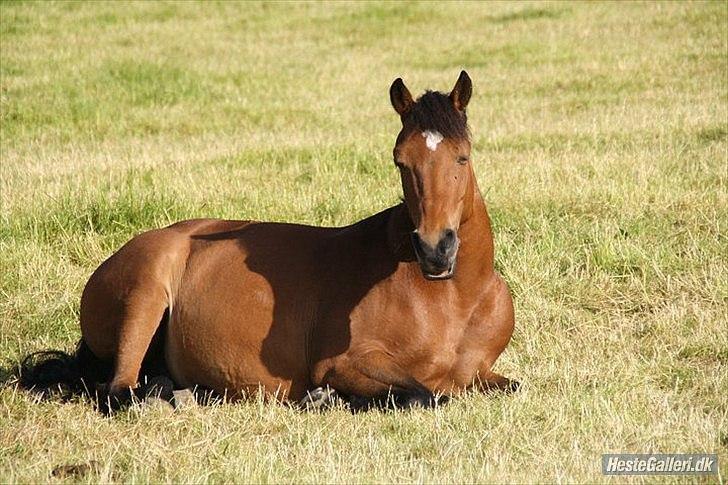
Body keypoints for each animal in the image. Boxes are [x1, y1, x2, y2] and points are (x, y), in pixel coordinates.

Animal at [75, 71, 516, 408]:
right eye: (400, 162)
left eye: (462, 156)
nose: (434, 250)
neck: (453, 301)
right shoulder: (344, 363)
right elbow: (423, 395)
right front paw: (326, 396)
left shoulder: (483, 374)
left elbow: (511, 386)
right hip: (145, 296)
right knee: (119, 389)